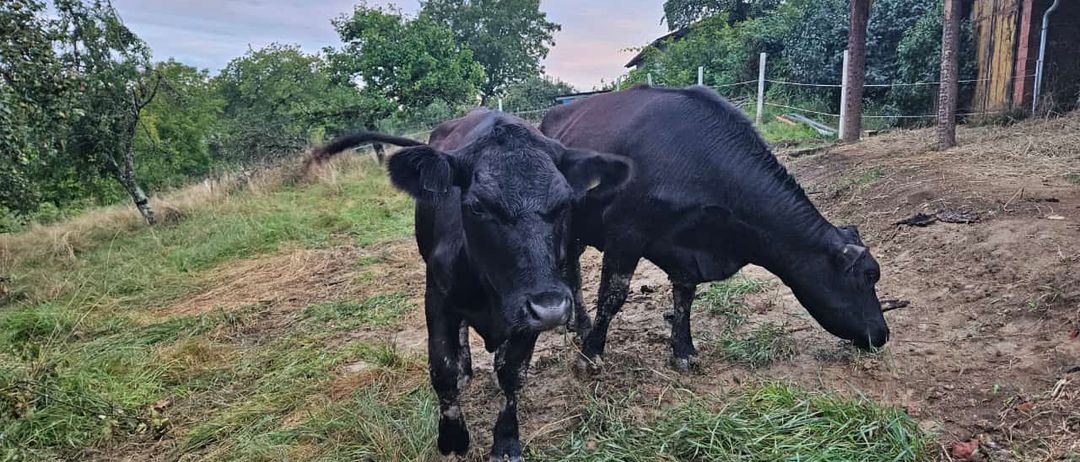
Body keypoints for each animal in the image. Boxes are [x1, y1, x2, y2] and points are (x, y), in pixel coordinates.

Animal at [311, 109, 632, 461]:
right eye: (477, 205)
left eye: (565, 203)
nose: (551, 308)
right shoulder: (437, 298)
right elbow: (444, 370)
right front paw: (452, 438)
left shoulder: (530, 311)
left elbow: (512, 373)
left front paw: (506, 441)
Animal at [539, 85, 890, 373]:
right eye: (868, 275)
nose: (882, 334)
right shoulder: (626, 233)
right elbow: (613, 296)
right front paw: (591, 355)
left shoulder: (686, 249)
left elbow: (685, 297)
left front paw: (684, 351)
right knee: (572, 271)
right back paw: (581, 325)